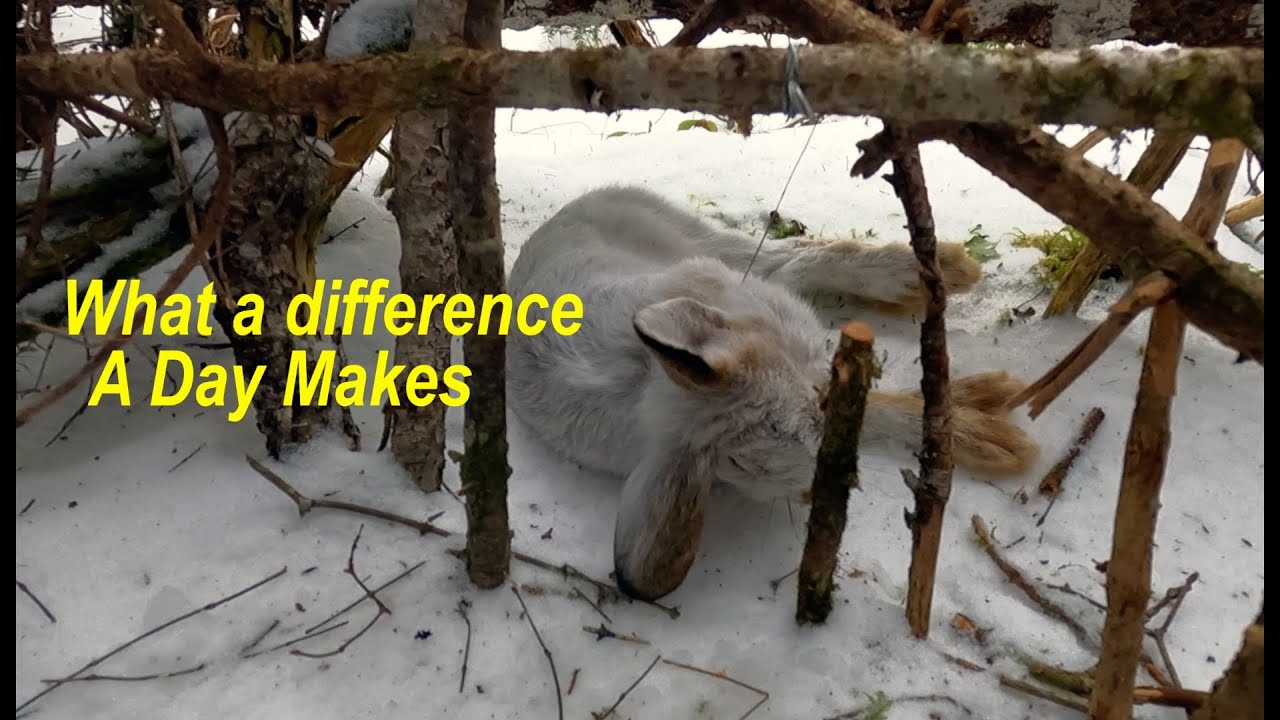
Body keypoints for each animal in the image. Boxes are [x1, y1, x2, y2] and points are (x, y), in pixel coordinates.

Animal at [506, 186, 1039, 601]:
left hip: (705, 245)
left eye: (819, 403)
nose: (835, 485)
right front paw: (988, 426)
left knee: (793, 260)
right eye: (743, 469)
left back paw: (932, 272)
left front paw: (982, 423)